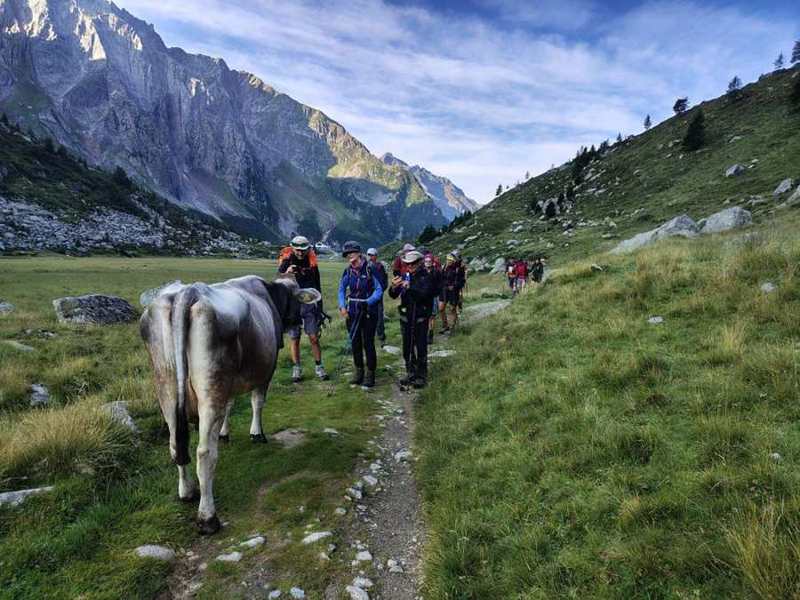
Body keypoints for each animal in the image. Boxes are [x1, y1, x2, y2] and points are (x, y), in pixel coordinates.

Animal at [139, 275, 321, 534]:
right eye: (296, 299)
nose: (298, 321)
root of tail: (188, 293)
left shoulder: (232, 381)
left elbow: (230, 406)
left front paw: (225, 432)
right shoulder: (265, 373)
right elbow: (257, 402)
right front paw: (256, 433)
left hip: (166, 388)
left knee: (176, 445)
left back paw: (186, 492)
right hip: (211, 388)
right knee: (204, 453)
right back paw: (208, 517)